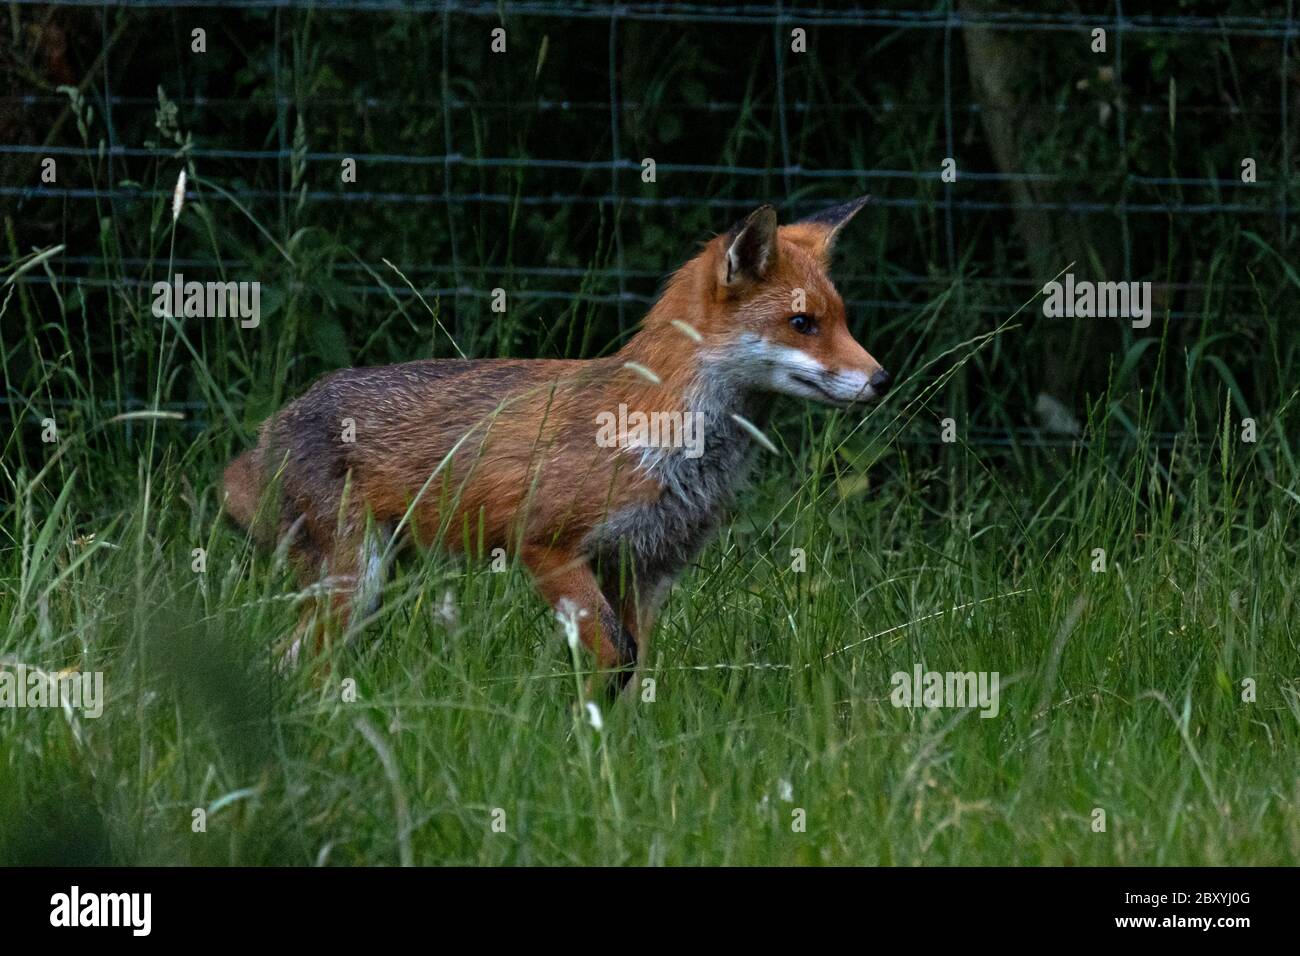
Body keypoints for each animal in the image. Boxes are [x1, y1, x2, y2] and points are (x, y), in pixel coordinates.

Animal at [222, 198, 890, 692]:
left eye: (842, 320)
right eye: (802, 325)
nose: (882, 380)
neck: (664, 441)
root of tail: (274, 423)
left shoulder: (649, 567)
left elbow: (640, 669)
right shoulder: (547, 546)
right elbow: (617, 656)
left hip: (379, 582)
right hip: (354, 583)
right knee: (294, 658)